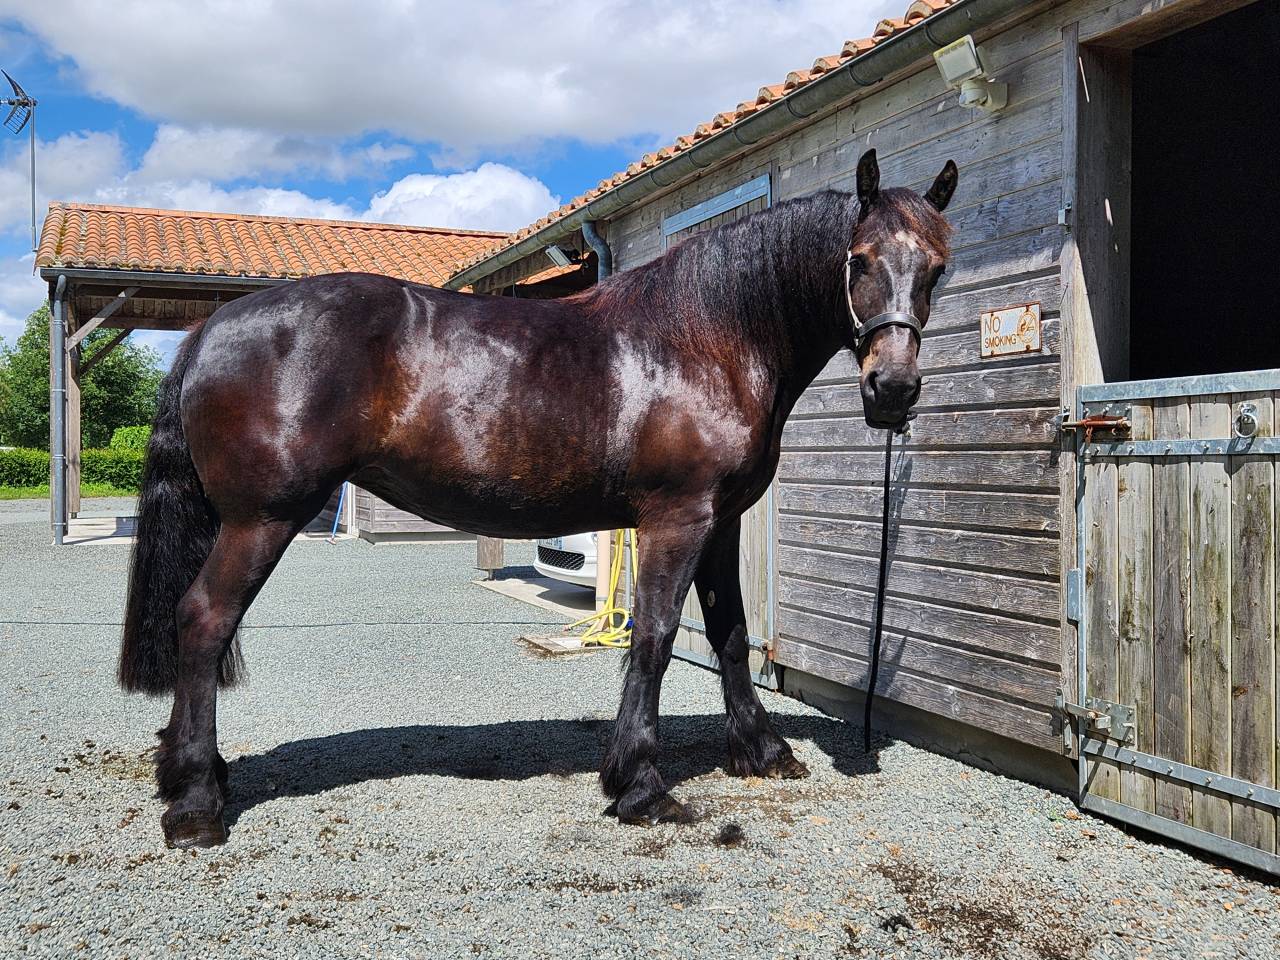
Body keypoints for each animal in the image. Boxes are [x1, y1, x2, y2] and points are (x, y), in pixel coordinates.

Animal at [118, 149, 956, 848]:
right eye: (858, 259)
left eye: (939, 268)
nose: (893, 389)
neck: (707, 338)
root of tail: (212, 327)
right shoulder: (677, 518)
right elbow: (655, 638)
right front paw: (640, 786)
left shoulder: (721, 525)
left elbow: (728, 633)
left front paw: (762, 749)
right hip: (259, 520)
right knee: (203, 621)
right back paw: (195, 805)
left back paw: (200, 776)